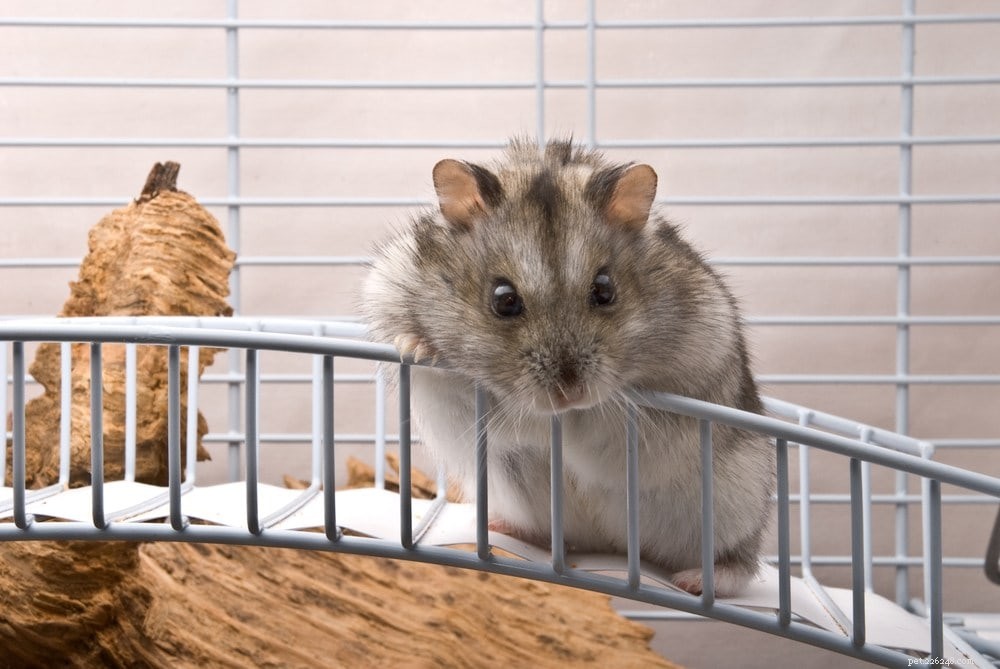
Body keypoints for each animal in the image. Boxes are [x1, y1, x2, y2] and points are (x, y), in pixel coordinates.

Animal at [363, 138, 774, 597]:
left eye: (605, 290)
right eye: (503, 299)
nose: (569, 395)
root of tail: (611, 547)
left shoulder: (701, 360)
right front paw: (417, 346)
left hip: (736, 504)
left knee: (742, 563)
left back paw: (698, 581)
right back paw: (500, 526)